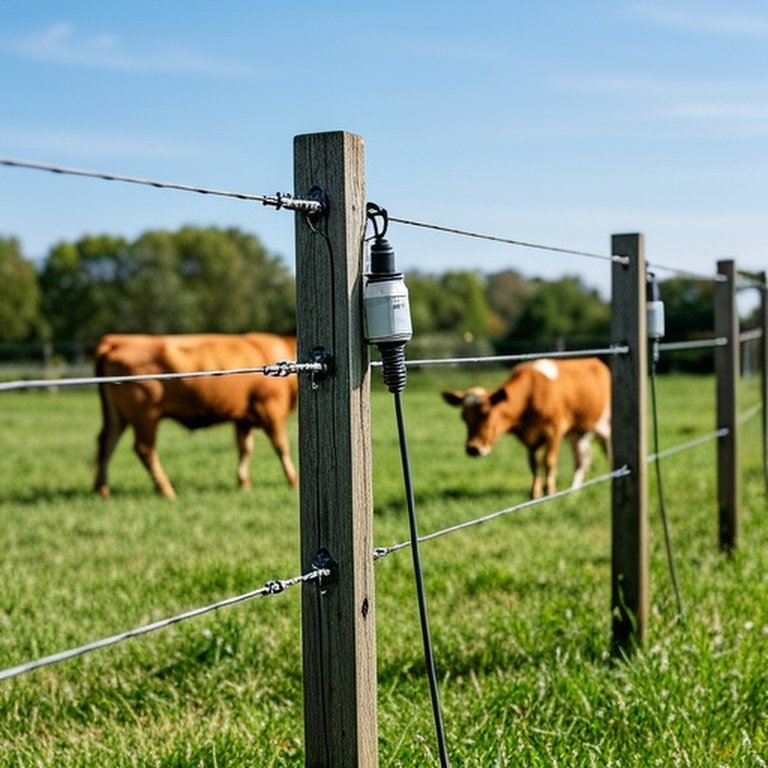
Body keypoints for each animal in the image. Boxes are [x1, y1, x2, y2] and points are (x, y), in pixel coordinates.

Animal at [93, 333, 298, 499]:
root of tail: (116, 341)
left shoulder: (244, 419)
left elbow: (245, 449)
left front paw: (244, 483)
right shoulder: (270, 408)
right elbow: (281, 446)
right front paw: (293, 481)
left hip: (117, 416)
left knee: (107, 443)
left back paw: (101, 490)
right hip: (145, 416)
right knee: (144, 449)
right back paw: (166, 490)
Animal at [442, 357, 611, 499]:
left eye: (486, 413)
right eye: (464, 417)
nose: (473, 448)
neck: (530, 394)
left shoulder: (554, 430)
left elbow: (549, 461)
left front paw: (549, 490)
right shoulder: (531, 439)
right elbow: (534, 464)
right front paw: (534, 493)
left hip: (605, 426)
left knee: (607, 453)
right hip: (579, 432)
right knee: (582, 460)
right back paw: (573, 491)